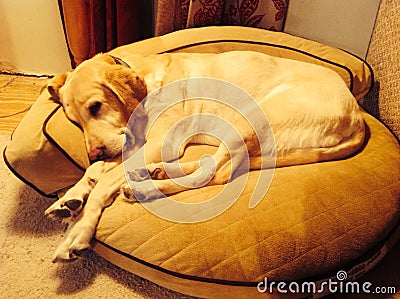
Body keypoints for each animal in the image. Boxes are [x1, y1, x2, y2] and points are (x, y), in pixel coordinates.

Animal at [43, 51, 366, 262]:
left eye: (96, 107)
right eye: (74, 121)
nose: (91, 151)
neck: (146, 84)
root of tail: (357, 115)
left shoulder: (158, 142)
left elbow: (103, 182)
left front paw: (78, 232)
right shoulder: (133, 144)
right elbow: (97, 171)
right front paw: (69, 198)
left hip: (251, 117)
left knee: (216, 173)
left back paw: (146, 188)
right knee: (211, 166)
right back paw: (154, 176)